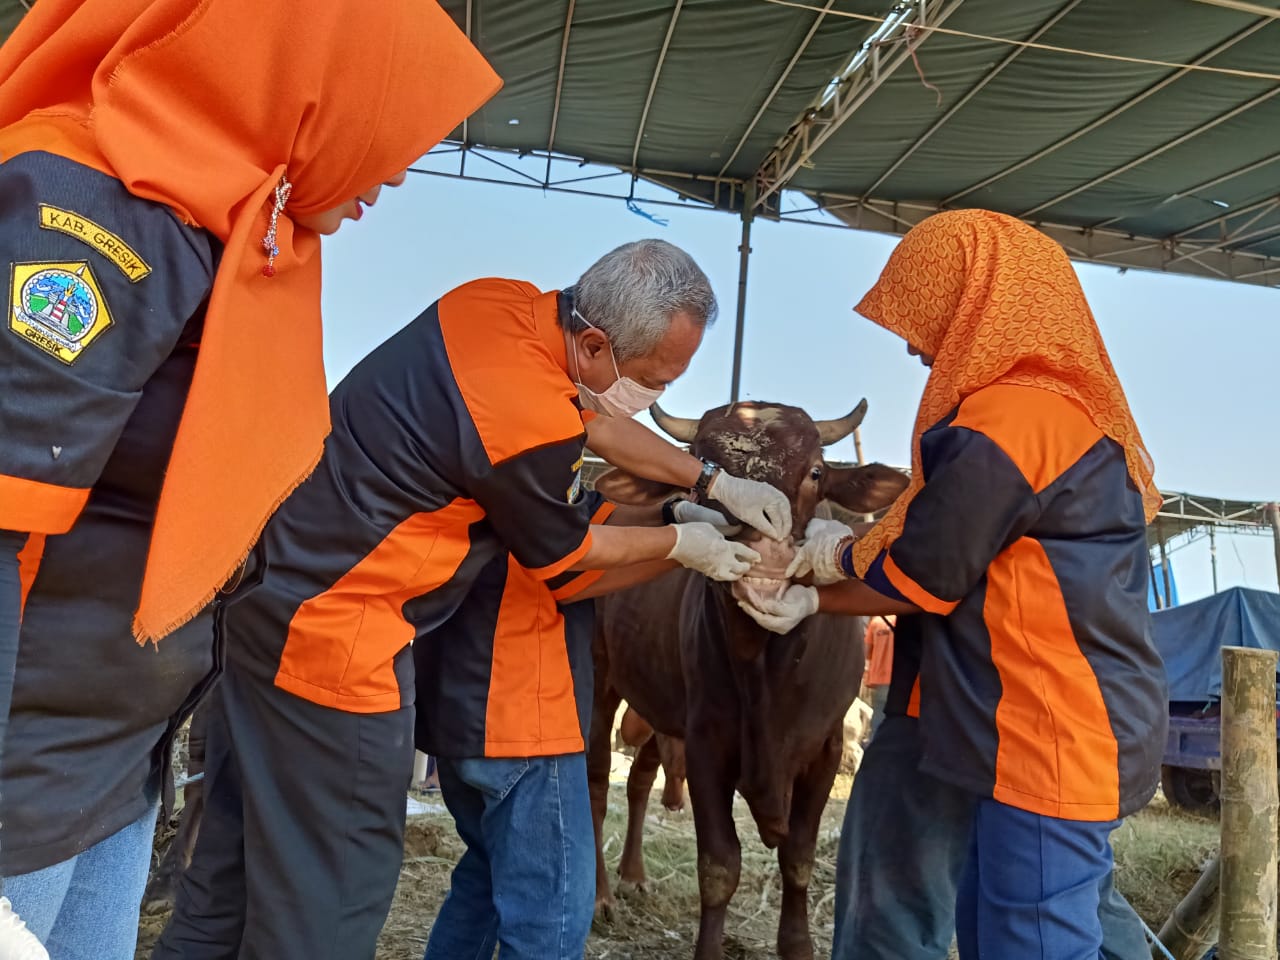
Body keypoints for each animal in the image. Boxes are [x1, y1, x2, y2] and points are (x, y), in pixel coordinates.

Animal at [586, 399, 906, 960]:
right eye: (706, 475)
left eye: (816, 472)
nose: (769, 556)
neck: (766, 671)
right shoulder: (707, 743)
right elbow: (719, 865)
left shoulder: (825, 746)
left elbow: (798, 856)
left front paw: (797, 946)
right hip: (604, 679)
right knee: (600, 782)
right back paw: (602, 894)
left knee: (642, 777)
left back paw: (635, 875)